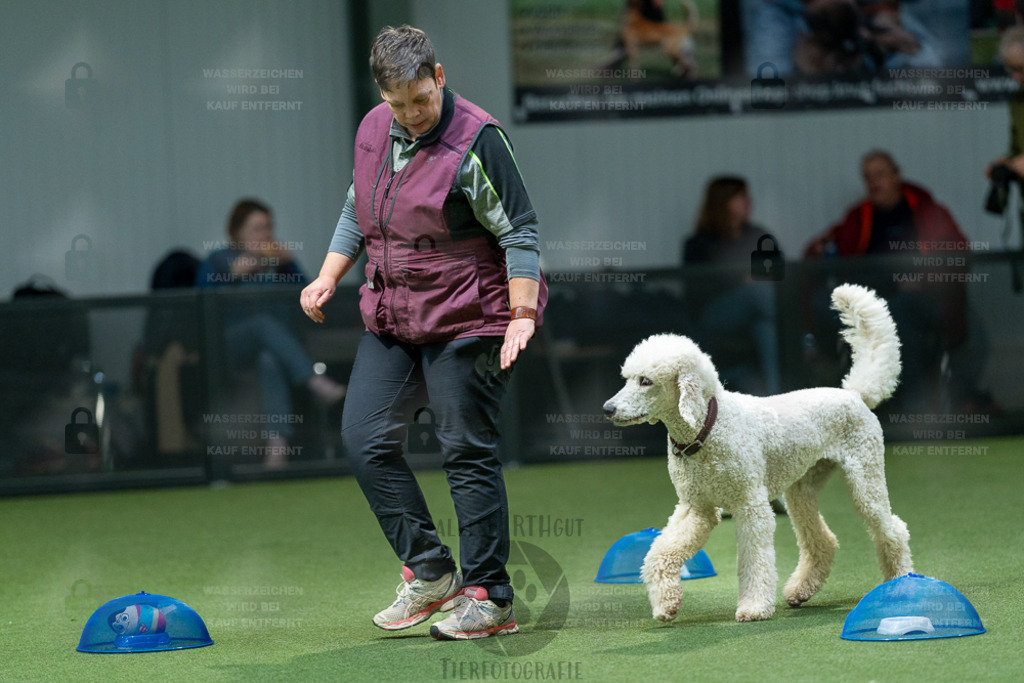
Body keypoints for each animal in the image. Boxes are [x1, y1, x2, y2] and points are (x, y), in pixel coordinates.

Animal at [598, 284, 913, 626]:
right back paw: (800, 590)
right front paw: (665, 604)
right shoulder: (697, 508)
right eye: (627, 378)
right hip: (801, 490)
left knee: (892, 529)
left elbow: (754, 560)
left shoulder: (750, 506)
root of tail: (854, 393)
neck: (706, 429)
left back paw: (900, 585)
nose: (607, 409)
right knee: (822, 540)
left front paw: (754, 607)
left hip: (864, 477)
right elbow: (660, 551)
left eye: (646, 381)